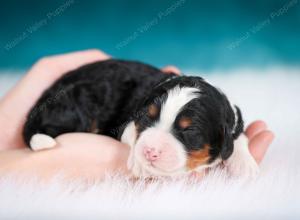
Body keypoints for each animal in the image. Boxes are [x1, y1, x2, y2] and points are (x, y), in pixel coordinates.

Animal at [23, 58, 258, 179]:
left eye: (189, 131)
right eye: (147, 118)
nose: (150, 152)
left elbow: (238, 137)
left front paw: (244, 164)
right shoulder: (128, 119)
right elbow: (132, 132)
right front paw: (140, 162)